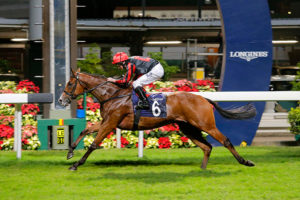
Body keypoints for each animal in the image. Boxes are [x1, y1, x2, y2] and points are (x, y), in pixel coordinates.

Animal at [59, 68, 256, 170]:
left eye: (70, 83)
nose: (61, 100)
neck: (112, 95)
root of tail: (204, 98)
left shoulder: (111, 122)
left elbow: (94, 144)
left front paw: (76, 164)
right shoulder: (107, 121)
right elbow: (85, 130)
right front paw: (70, 153)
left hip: (205, 124)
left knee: (225, 141)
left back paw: (246, 161)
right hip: (188, 128)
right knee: (207, 147)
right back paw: (202, 169)